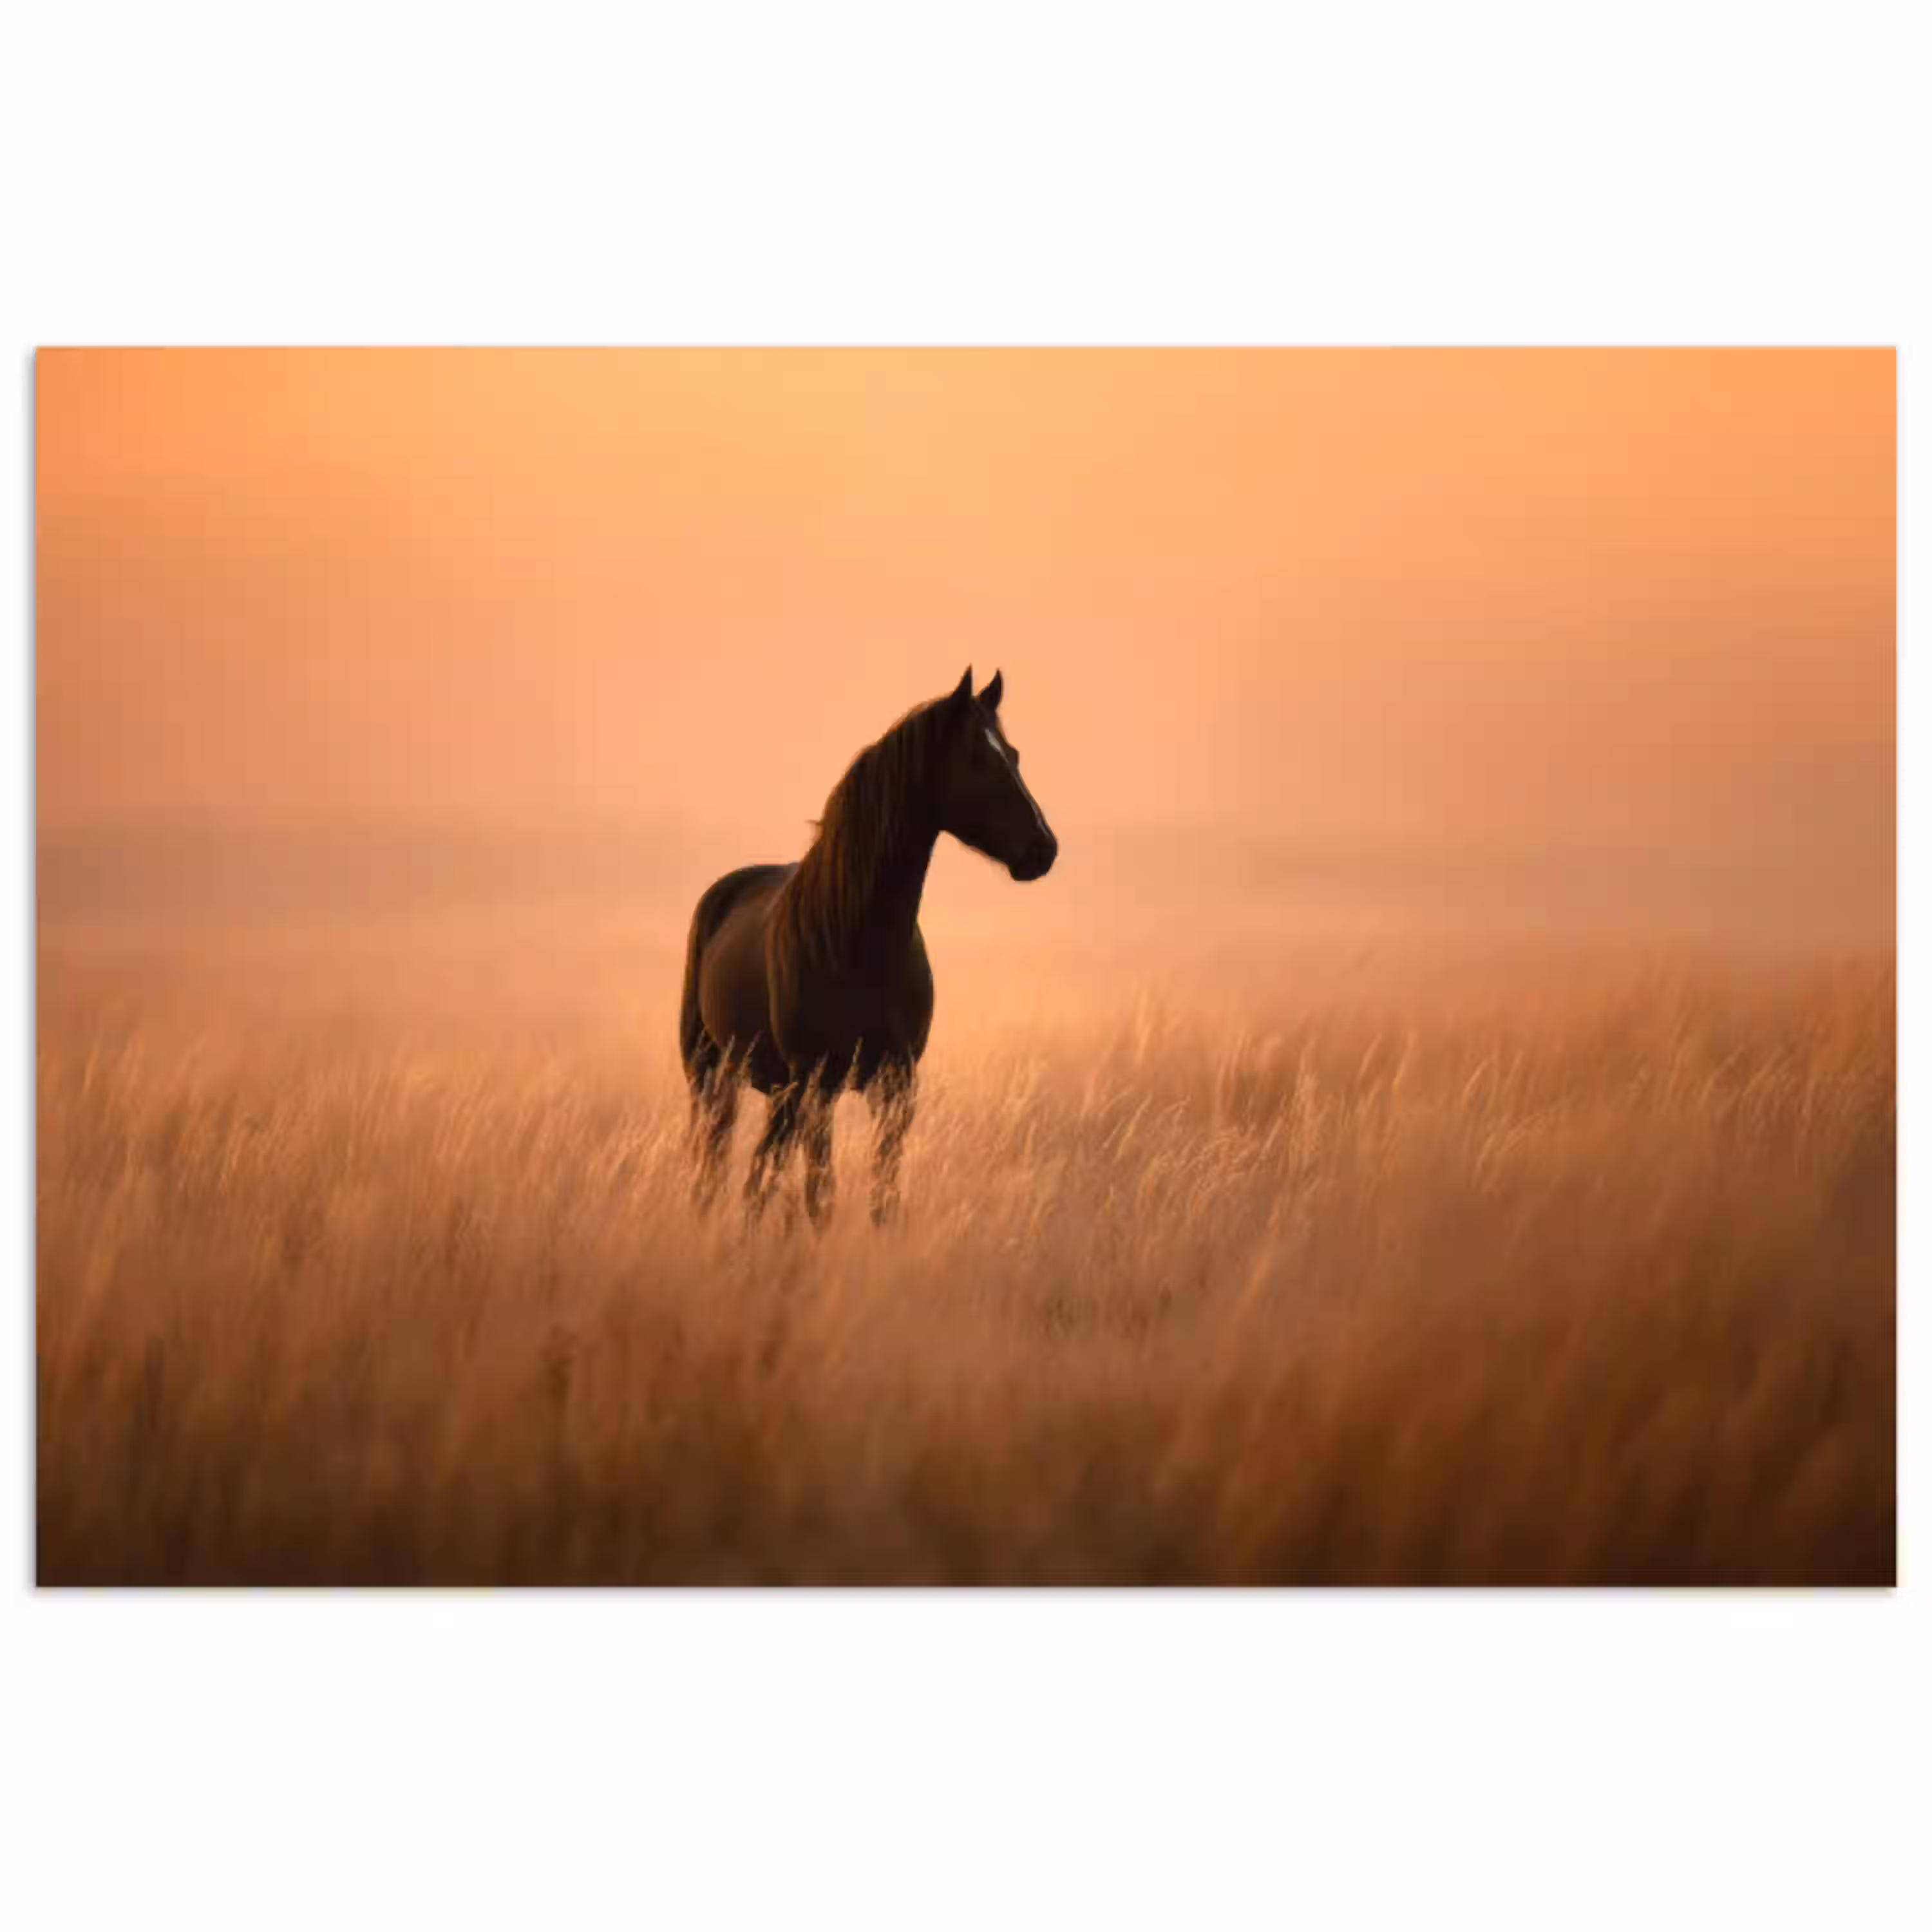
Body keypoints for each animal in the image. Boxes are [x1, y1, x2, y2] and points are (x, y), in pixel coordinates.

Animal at [678, 666, 1057, 1228]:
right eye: (979, 758)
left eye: (1012, 754)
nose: (1043, 849)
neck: (858, 941)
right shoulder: (818, 1082)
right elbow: (821, 1196)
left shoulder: (895, 1084)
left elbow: (883, 1197)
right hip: (714, 1076)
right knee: (719, 1169)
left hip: (778, 1091)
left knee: (759, 1175)